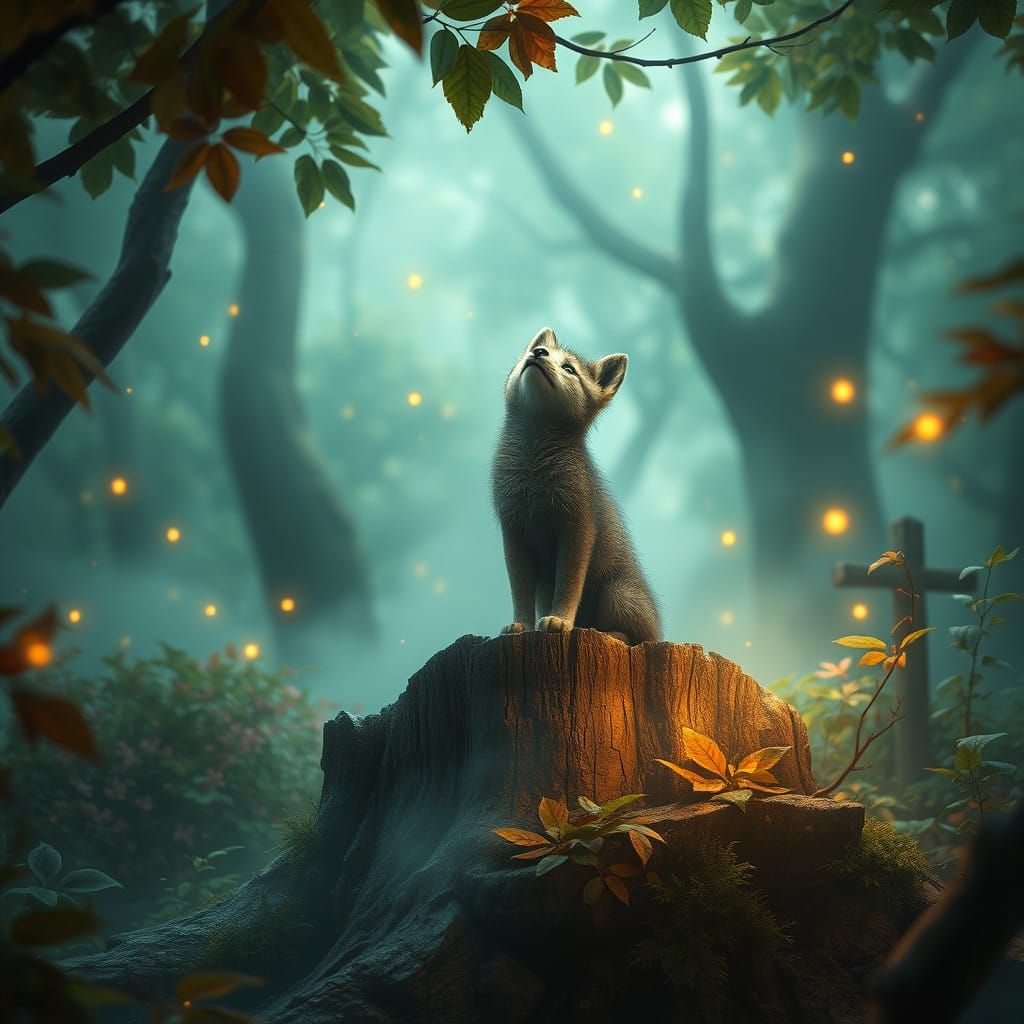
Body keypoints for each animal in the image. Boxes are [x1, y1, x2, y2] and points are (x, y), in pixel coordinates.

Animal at [491, 327, 661, 646]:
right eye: (539, 350)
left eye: (569, 368)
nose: (538, 353)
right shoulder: (513, 530)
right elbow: (519, 589)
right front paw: (520, 625)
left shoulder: (577, 528)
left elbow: (569, 583)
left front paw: (559, 621)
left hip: (617, 594)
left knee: (636, 636)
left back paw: (603, 632)